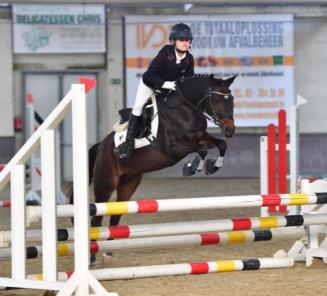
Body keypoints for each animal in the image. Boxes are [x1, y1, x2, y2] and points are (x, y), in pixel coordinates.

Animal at [70, 72, 237, 254]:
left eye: (231, 99)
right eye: (218, 100)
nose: (230, 130)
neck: (185, 109)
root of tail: (101, 146)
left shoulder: (201, 137)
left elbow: (221, 145)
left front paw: (213, 166)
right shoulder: (173, 149)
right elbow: (202, 150)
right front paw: (191, 167)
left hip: (128, 183)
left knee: (115, 216)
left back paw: (109, 250)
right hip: (105, 184)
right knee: (97, 219)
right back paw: (94, 253)